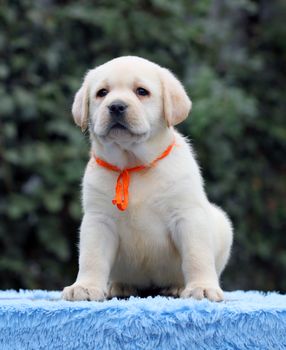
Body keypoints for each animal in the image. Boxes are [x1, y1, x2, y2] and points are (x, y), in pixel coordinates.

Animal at [62, 56, 232, 302]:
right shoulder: (99, 220)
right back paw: (120, 285)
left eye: (142, 91)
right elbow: (91, 257)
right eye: (102, 93)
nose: (116, 106)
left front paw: (202, 287)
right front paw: (85, 287)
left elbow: (196, 255)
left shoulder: (187, 215)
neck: (133, 165)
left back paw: (177, 286)